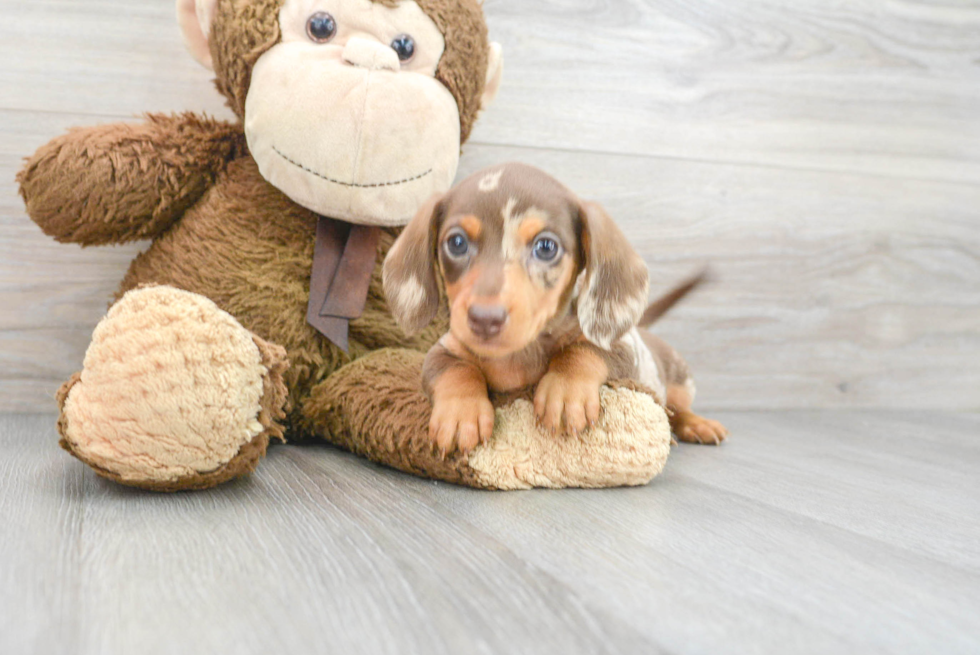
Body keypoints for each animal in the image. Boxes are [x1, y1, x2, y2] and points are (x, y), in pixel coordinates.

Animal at [382, 161, 728, 454]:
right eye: (456, 243)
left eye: (546, 247)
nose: (484, 319)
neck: (517, 355)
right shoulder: (444, 348)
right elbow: (455, 369)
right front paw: (460, 411)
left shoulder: (624, 351)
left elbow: (581, 350)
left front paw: (566, 391)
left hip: (679, 381)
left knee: (678, 408)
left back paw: (697, 424)